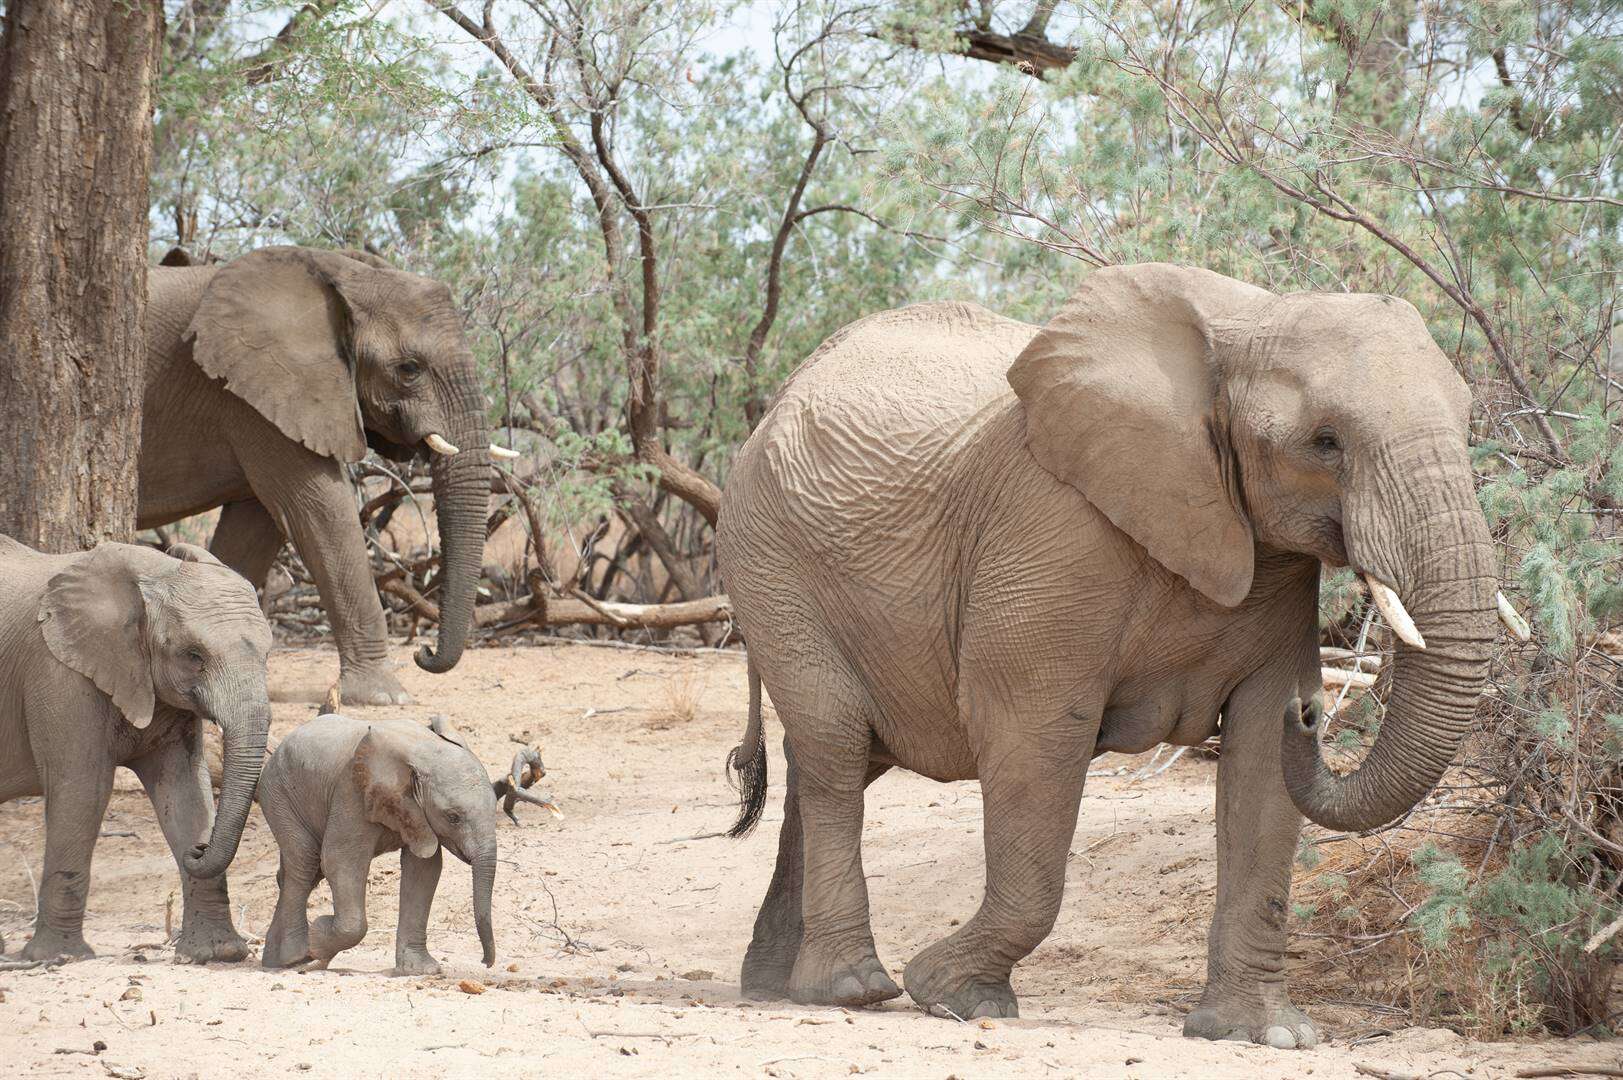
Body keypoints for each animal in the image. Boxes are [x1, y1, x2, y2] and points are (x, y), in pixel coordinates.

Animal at [0, 535, 272, 961]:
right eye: (193, 655)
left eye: (268, 654)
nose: (200, 849)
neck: (153, 573)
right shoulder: (58, 672)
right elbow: (83, 790)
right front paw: (58, 957)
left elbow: (185, 790)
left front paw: (217, 954)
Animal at [144, 241, 512, 708]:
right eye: (409, 369)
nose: (423, 652)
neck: (341, 275)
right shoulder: (253, 394)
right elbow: (320, 513)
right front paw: (385, 697)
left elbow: (255, 527)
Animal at [256, 711, 555, 974]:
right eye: (453, 817)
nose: (485, 963)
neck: (425, 751)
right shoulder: (352, 791)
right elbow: (341, 861)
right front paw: (317, 937)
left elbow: (425, 870)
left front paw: (420, 971)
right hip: (279, 793)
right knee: (306, 862)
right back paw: (295, 958)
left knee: (299, 872)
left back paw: (277, 961)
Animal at [720, 261, 1532, 1045]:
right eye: (1324, 442)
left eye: (1467, 422)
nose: (1312, 713)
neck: (1241, 323)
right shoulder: (1052, 535)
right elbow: (1035, 736)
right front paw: (951, 994)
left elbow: (1259, 764)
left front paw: (1263, 1034)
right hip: (770, 562)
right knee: (834, 745)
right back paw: (850, 990)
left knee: (837, 759)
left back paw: (773, 986)